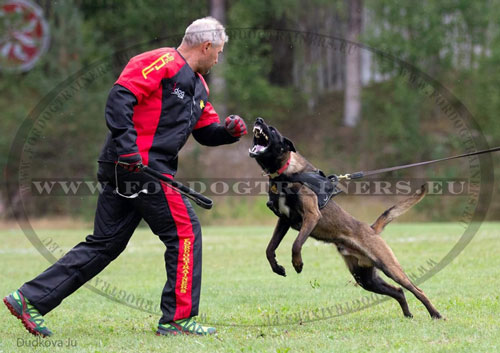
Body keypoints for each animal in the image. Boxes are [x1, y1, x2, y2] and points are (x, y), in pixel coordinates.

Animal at [249, 118, 442, 320]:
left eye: (272, 129)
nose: (259, 120)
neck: (284, 173)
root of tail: (371, 228)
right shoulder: (284, 221)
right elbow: (270, 248)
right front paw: (277, 267)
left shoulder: (312, 215)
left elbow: (296, 244)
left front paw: (298, 263)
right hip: (366, 278)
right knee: (398, 291)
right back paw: (408, 315)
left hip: (390, 267)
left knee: (417, 290)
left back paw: (435, 314)